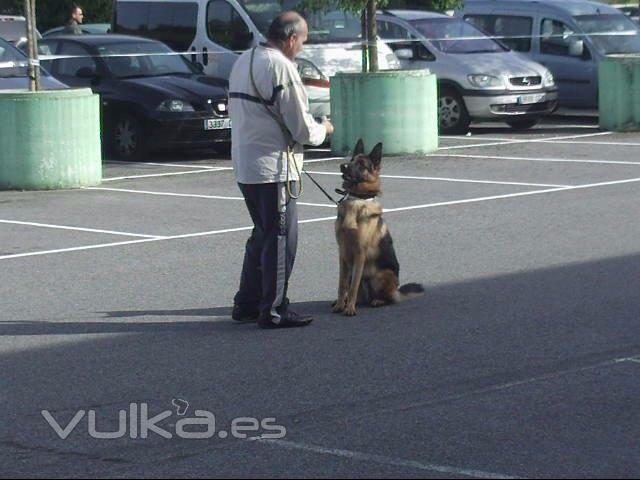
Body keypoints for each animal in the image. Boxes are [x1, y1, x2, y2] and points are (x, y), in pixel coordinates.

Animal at [332, 139, 422, 316]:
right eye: (352, 160)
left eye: (361, 165)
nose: (342, 166)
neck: (357, 199)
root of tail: (397, 291)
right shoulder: (342, 254)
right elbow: (342, 284)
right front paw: (340, 305)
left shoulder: (359, 252)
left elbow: (352, 286)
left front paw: (349, 309)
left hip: (381, 276)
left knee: (387, 298)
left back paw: (377, 301)